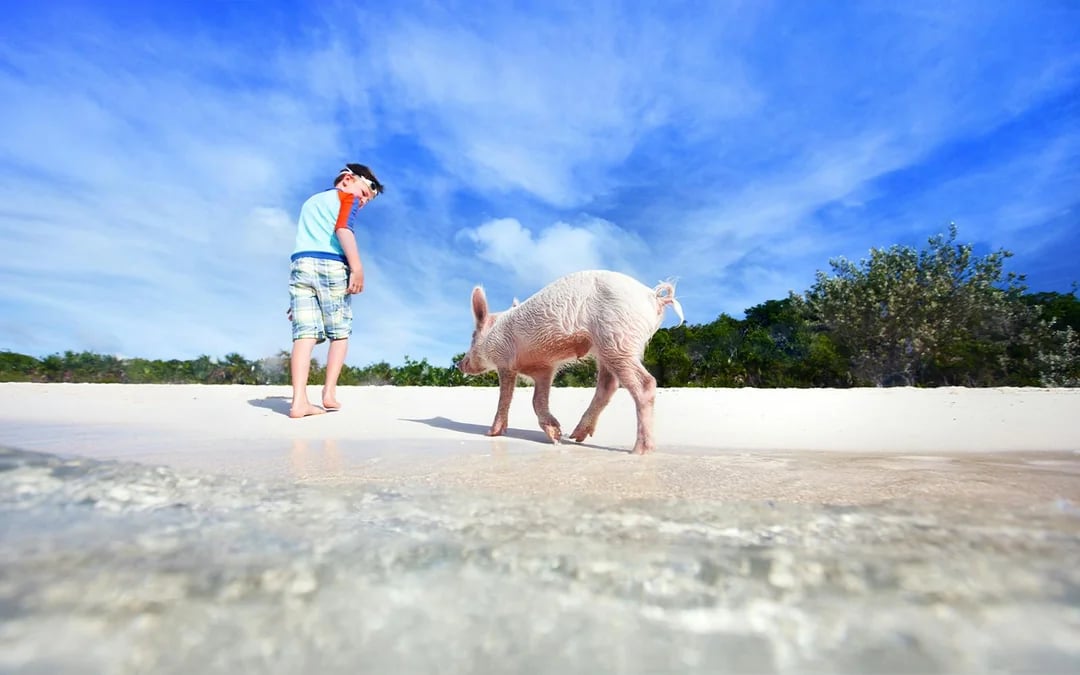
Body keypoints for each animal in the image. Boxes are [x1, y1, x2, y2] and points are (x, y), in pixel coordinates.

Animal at [457, 270, 684, 454]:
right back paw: (576, 437)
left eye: (472, 336)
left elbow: (504, 398)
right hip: (607, 347)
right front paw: (557, 435)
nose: (460, 364)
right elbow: (538, 399)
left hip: (617, 338)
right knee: (608, 385)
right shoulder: (544, 368)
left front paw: (490, 433)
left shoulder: (505, 361)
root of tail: (653, 297)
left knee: (645, 383)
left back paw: (639, 451)